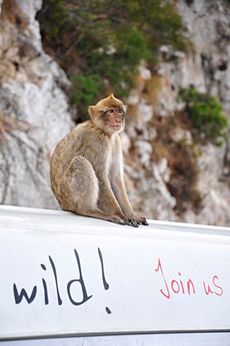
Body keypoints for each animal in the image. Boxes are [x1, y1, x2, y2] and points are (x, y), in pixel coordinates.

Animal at [49, 94, 148, 227]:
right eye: (111, 111)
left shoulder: (116, 142)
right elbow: (101, 177)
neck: (105, 132)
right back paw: (88, 210)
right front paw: (121, 215)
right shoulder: (97, 141)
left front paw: (132, 215)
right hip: (68, 196)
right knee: (80, 162)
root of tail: (61, 203)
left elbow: (115, 178)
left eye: (119, 111)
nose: (118, 119)